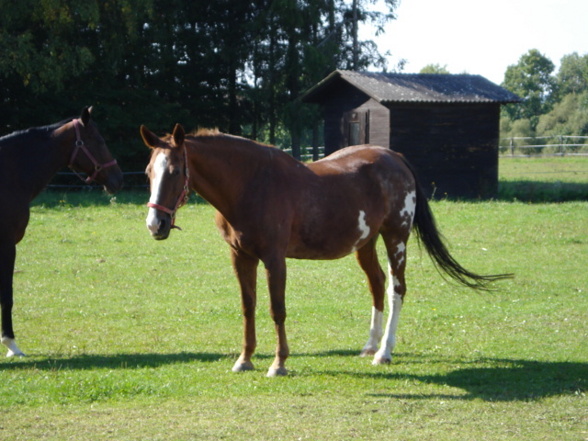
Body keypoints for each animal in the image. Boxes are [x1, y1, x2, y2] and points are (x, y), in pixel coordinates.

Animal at [0, 107, 123, 358]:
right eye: (99, 140)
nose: (119, 178)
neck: (9, 176)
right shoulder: (7, 245)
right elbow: (7, 296)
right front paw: (11, 344)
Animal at [141, 123, 510, 374]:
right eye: (148, 171)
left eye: (175, 170)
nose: (155, 224)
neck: (251, 184)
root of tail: (396, 158)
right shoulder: (240, 257)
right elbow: (248, 307)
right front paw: (244, 360)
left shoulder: (274, 259)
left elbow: (277, 309)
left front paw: (279, 363)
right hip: (366, 243)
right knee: (377, 285)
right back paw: (369, 345)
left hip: (396, 237)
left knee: (396, 289)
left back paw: (384, 352)